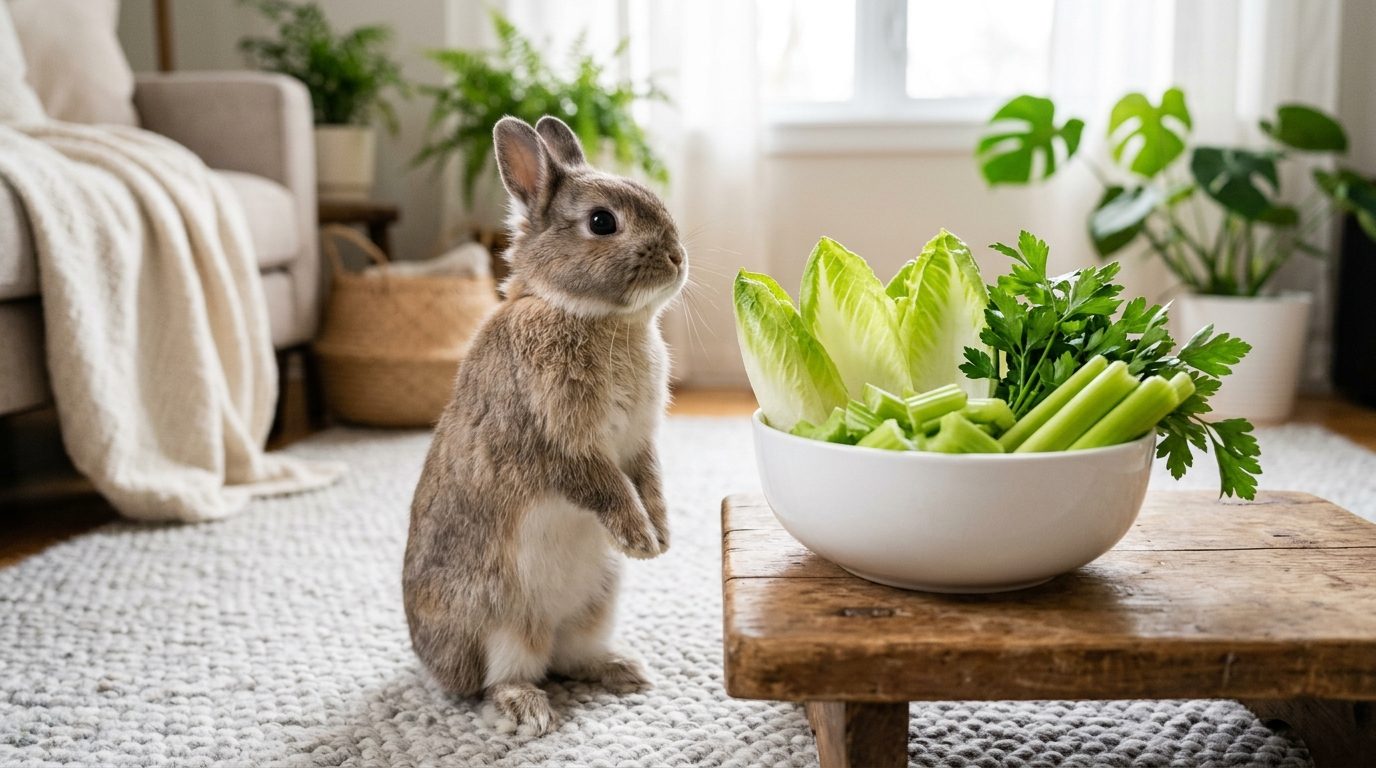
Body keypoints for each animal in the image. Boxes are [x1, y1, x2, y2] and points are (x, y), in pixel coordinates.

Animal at [403, 115, 687, 736]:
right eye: (602, 222)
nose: (679, 257)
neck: (584, 312)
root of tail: (437, 665)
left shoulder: (640, 444)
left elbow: (649, 481)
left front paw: (662, 537)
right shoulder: (556, 443)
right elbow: (605, 487)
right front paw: (640, 541)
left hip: (595, 604)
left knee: (572, 658)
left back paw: (626, 670)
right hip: (501, 623)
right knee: (505, 677)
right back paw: (527, 709)